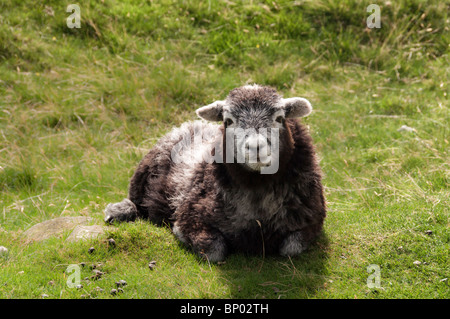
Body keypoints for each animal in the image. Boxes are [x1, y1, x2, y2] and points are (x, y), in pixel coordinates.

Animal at [103, 85, 326, 262]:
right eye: (228, 121)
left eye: (279, 118)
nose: (255, 147)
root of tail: (192, 124)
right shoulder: (192, 215)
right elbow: (213, 250)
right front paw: (179, 233)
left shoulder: (311, 221)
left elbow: (291, 248)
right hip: (144, 171)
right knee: (135, 200)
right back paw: (117, 211)